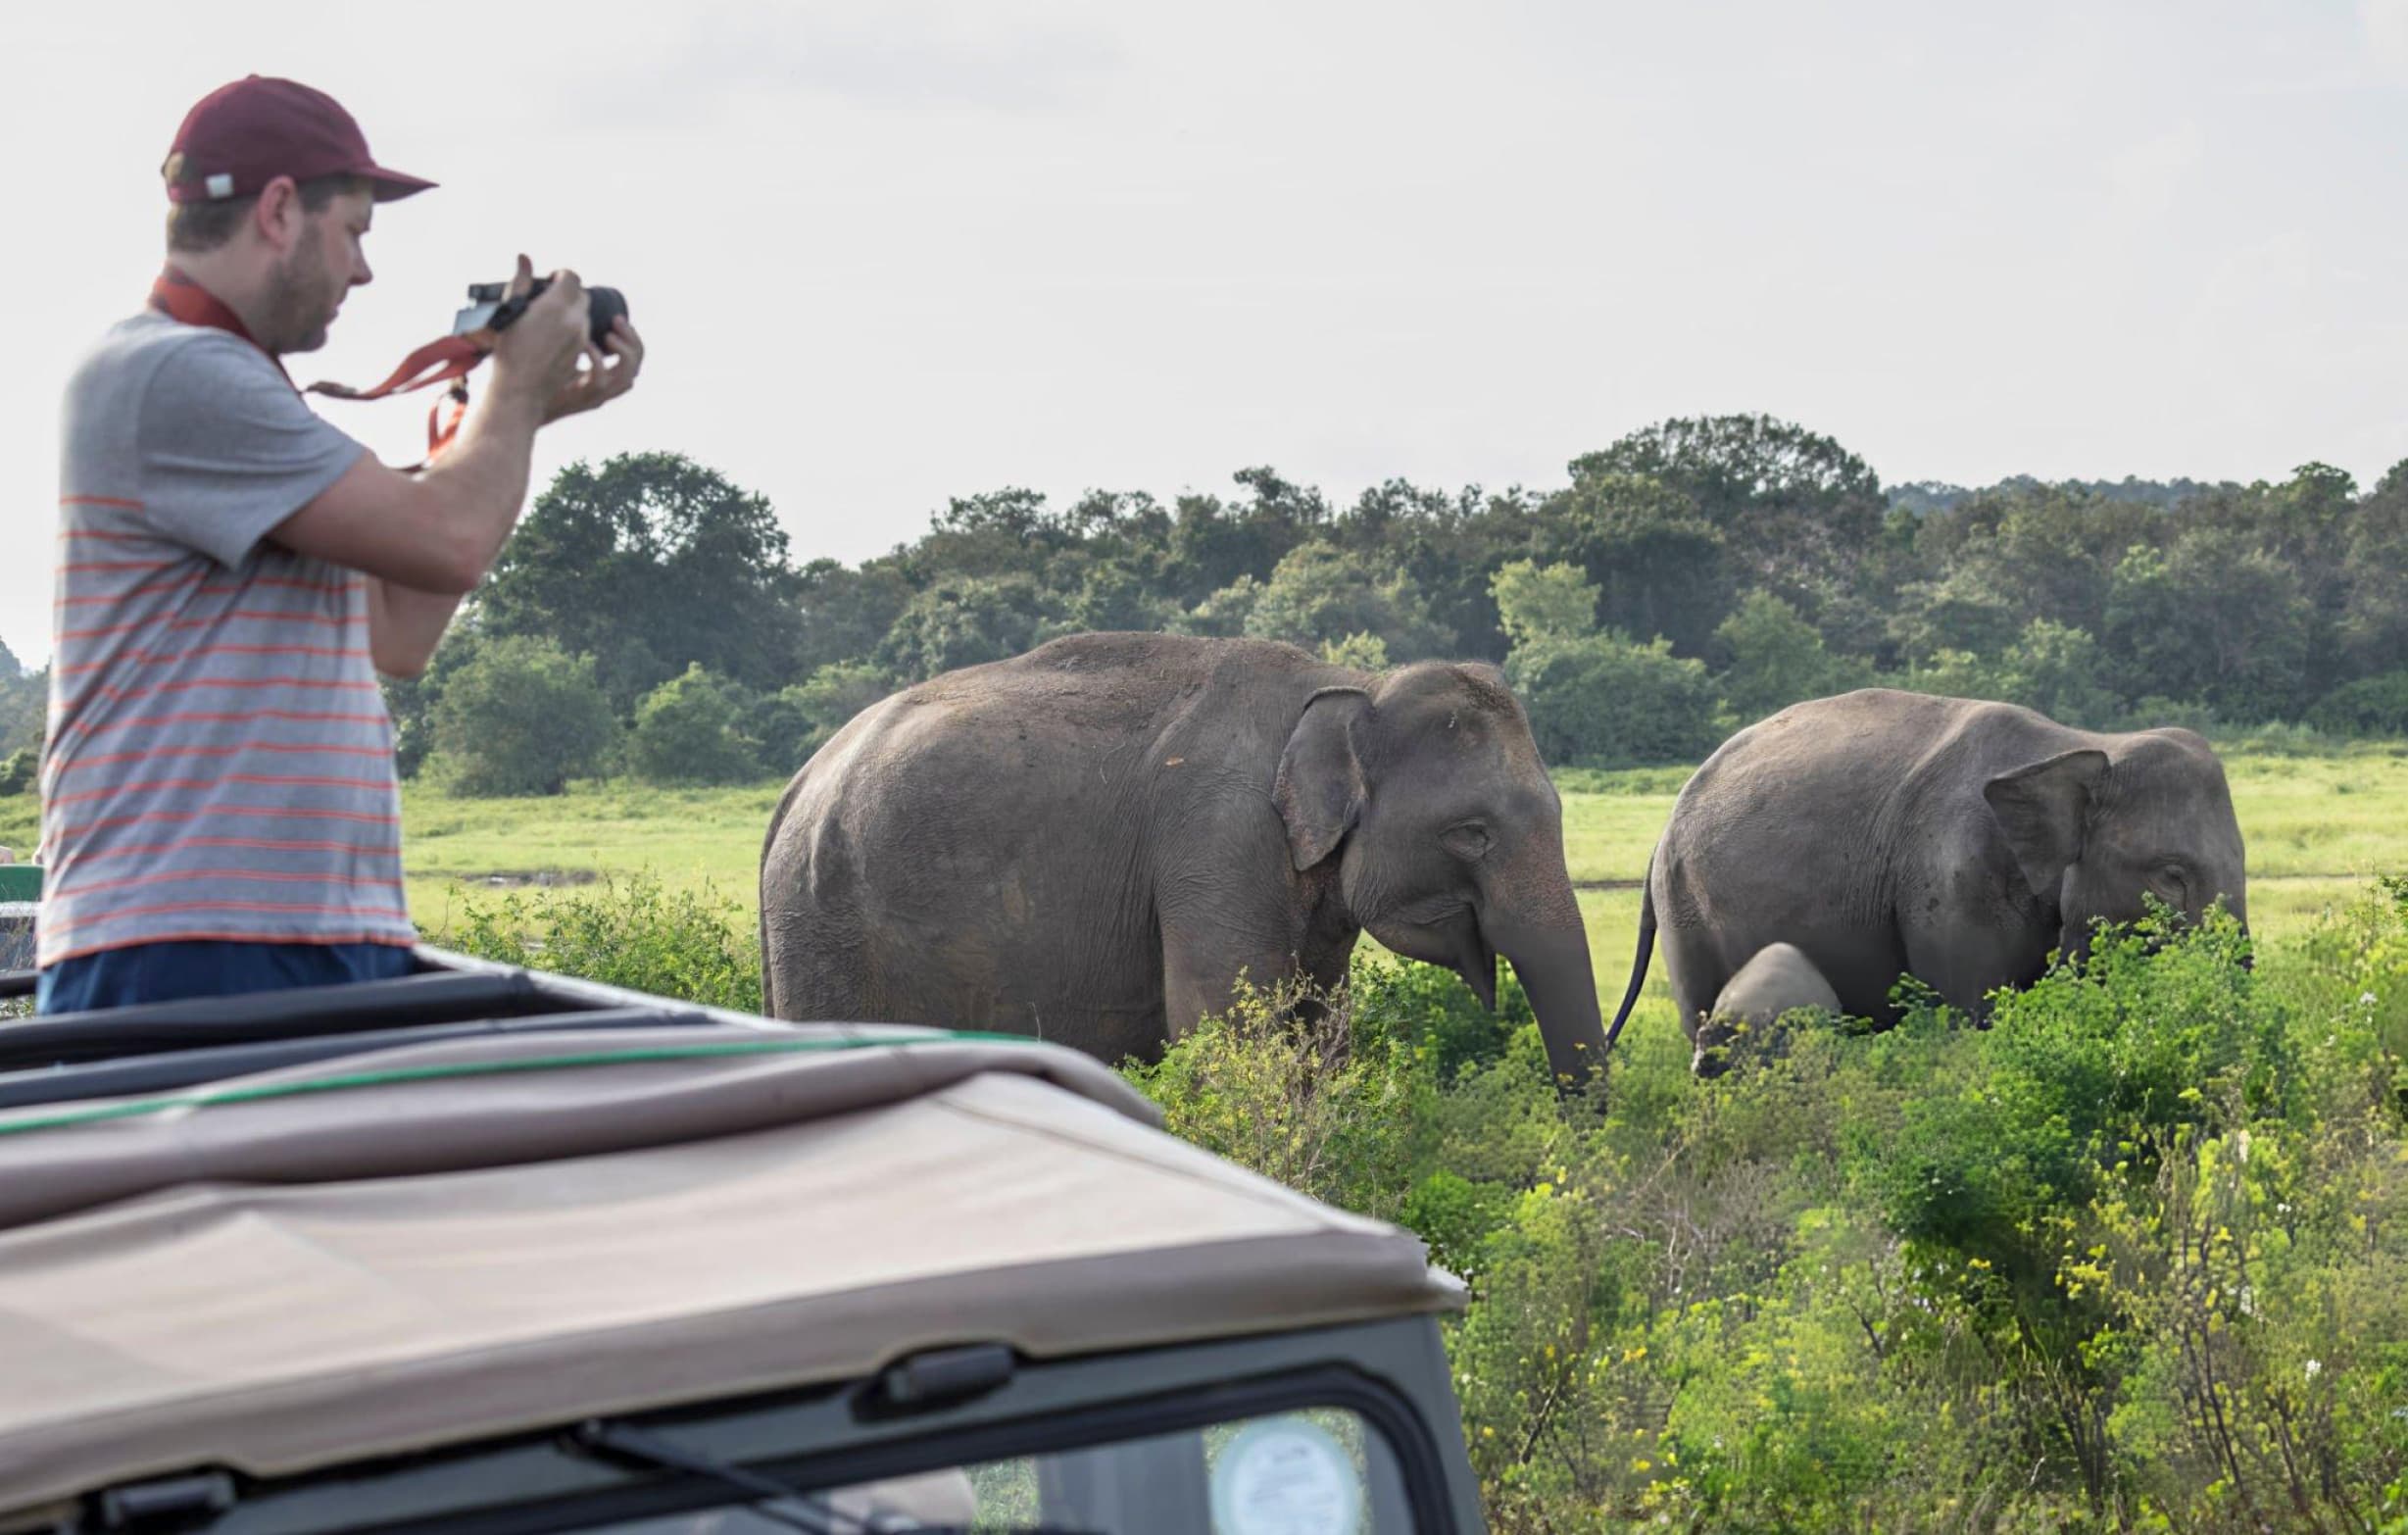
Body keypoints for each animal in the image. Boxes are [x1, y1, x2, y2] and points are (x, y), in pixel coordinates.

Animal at [760, 633, 1609, 1082]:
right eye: (1472, 833)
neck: (1350, 683)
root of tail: (796, 787)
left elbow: (1318, 1035)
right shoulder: (1217, 843)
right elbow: (1228, 1036)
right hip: (827, 929)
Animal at [1604, 688, 2247, 1067]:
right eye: (2172, 876)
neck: (2078, 746)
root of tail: (1661, 834)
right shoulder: (1951, 883)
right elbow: (1976, 1015)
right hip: (1686, 912)